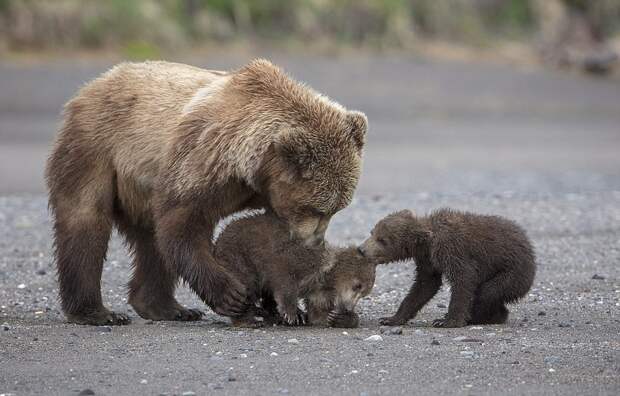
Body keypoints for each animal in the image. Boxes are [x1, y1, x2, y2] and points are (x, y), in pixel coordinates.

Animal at [48, 59, 368, 324]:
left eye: (337, 209)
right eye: (317, 209)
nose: (315, 241)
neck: (253, 171)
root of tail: (93, 84)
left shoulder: (264, 194)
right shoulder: (203, 160)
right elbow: (182, 226)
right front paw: (233, 296)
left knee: (150, 242)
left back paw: (166, 308)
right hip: (97, 148)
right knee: (85, 223)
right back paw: (96, 312)